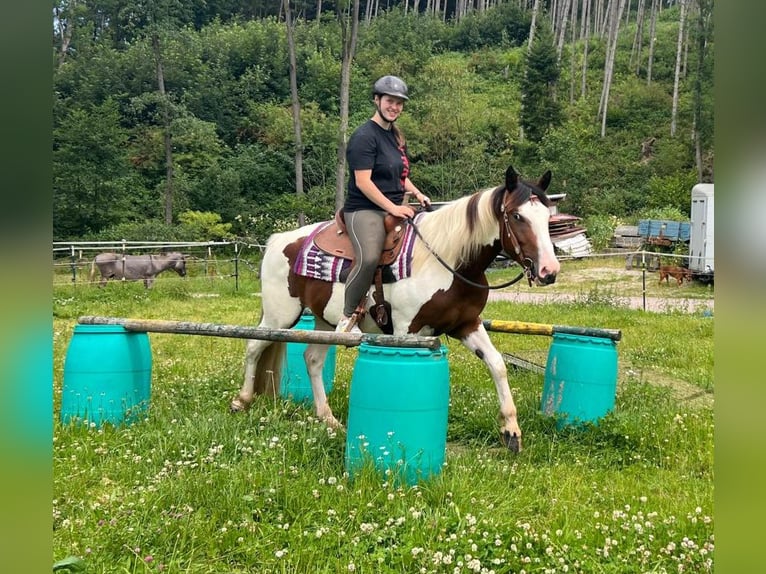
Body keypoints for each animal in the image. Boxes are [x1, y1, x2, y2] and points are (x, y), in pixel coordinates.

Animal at [231, 164, 560, 452]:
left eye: (547, 216)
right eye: (517, 215)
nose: (549, 270)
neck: (448, 260)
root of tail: (278, 240)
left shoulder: (467, 324)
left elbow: (497, 364)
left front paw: (511, 433)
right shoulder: (407, 330)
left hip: (324, 322)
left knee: (312, 359)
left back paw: (328, 419)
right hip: (280, 316)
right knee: (254, 346)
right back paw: (242, 400)